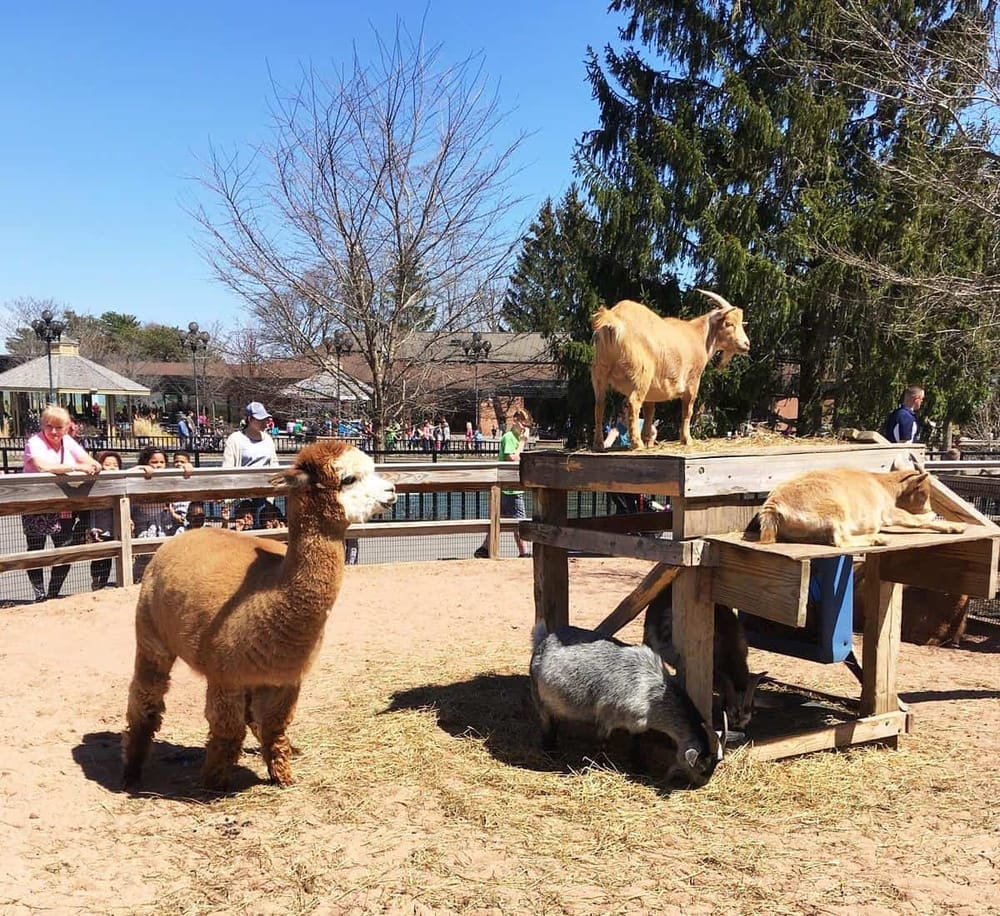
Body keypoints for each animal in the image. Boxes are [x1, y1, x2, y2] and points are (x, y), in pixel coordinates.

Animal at [122, 441, 396, 791]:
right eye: (348, 479)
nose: (392, 489)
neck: (271, 597)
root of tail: (182, 536)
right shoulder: (225, 676)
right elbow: (227, 730)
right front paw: (215, 782)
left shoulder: (286, 679)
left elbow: (275, 726)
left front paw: (283, 775)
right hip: (151, 634)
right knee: (145, 697)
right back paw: (131, 770)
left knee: (252, 716)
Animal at [529, 623, 723, 788]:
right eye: (702, 768)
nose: (703, 783)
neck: (653, 692)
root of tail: (542, 639)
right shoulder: (606, 715)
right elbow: (602, 741)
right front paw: (600, 764)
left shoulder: (637, 722)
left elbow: (636, 741)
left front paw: (638, 765)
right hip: (538, 695)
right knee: (546, 721)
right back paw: (549, 750)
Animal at [591, 290, 750, 450]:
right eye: (729, 323)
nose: (746, 344)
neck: (699, 335)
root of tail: (614, 319)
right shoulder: (693, 381)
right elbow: (687, 410)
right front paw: (687, 439)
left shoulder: (652, 390)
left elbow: (649, 411)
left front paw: (648, 440)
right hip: (641, 374)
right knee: (633, 402)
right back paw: (637, 444)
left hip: (599, 371)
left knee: (599, 404)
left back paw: (599, 444)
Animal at [754, 467, 965, 549]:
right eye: (924, 493)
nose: (928, 507)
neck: (882, 484)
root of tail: (773, 503)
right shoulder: (888, 512)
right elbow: (914, 520)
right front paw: (951, 524)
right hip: (836, 510)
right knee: (842, 540)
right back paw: (878, 539)